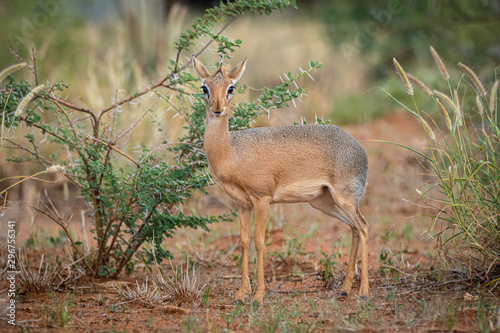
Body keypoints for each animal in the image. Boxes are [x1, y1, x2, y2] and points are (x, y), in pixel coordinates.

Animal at [193, 56, 370, 304]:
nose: (218, 109)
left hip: (344, 199)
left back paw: (363, 292)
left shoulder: (262, 199)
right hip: (324, 202)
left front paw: (258, 295)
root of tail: (360, 149)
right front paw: (241, 293)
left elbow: (259, 241)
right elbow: (244, 241)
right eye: (204, 88)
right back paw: (344, 288)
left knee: (364, 227)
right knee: (354, 228)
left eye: (231, 88)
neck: (232, 151)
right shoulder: (243, 205)